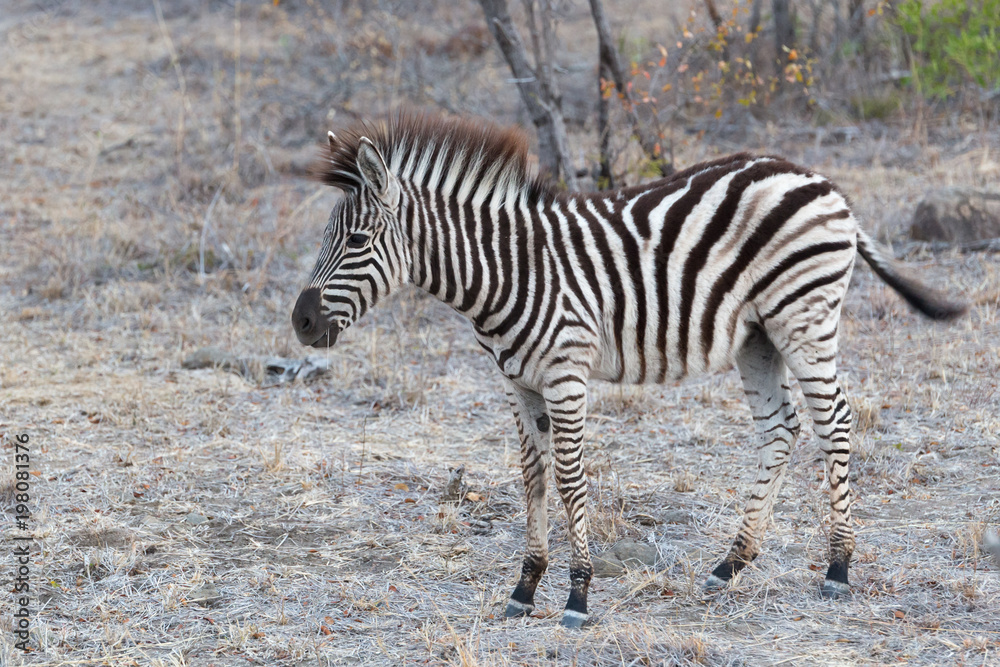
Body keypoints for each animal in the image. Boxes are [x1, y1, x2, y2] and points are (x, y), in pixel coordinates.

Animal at [291, 112, 966, 628]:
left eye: (356, 243)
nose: (299, 322)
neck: (506, 270)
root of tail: (822, 181)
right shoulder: (517, 384)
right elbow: (532, 479)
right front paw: (525, 588)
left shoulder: (565, 375)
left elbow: (569, 481)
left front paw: (578, 595)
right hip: (758, 336)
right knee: (782, 429)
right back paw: (730, 564)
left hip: (804, 317)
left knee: (836, 423)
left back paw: (838, 568)